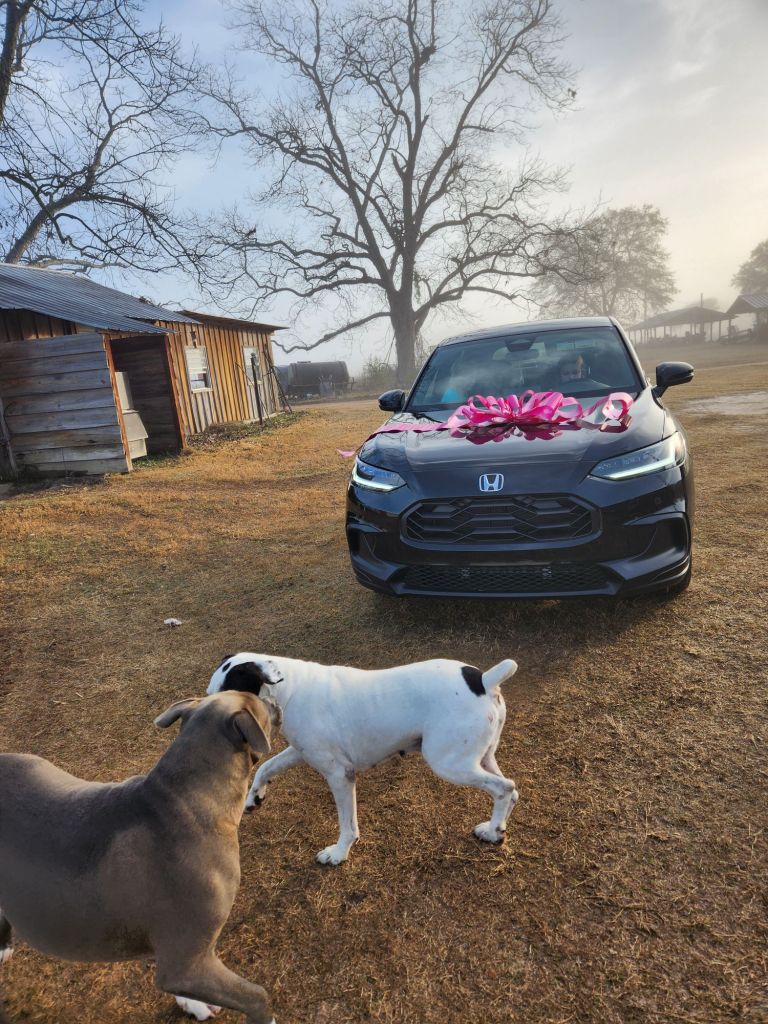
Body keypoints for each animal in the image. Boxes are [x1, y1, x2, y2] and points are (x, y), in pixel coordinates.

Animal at [0, 691, 280, 1024]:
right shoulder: (186, 963)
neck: (184, 798)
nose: (276, 700)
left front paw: (192, 1003)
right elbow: (258, 996)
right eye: (259, 703)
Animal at [208, 653, 519, 865]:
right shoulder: (301, 751)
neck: (290, 690)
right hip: (480, 758)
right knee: (511, 790)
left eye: (226, 695)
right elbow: (265, 767)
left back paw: (493, 832)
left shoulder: (340, 775)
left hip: (449, 763)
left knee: (504, 788)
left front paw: (338, 853)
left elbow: (348, 825)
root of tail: (484, 679)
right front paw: (254, 798)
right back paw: (496, 830)